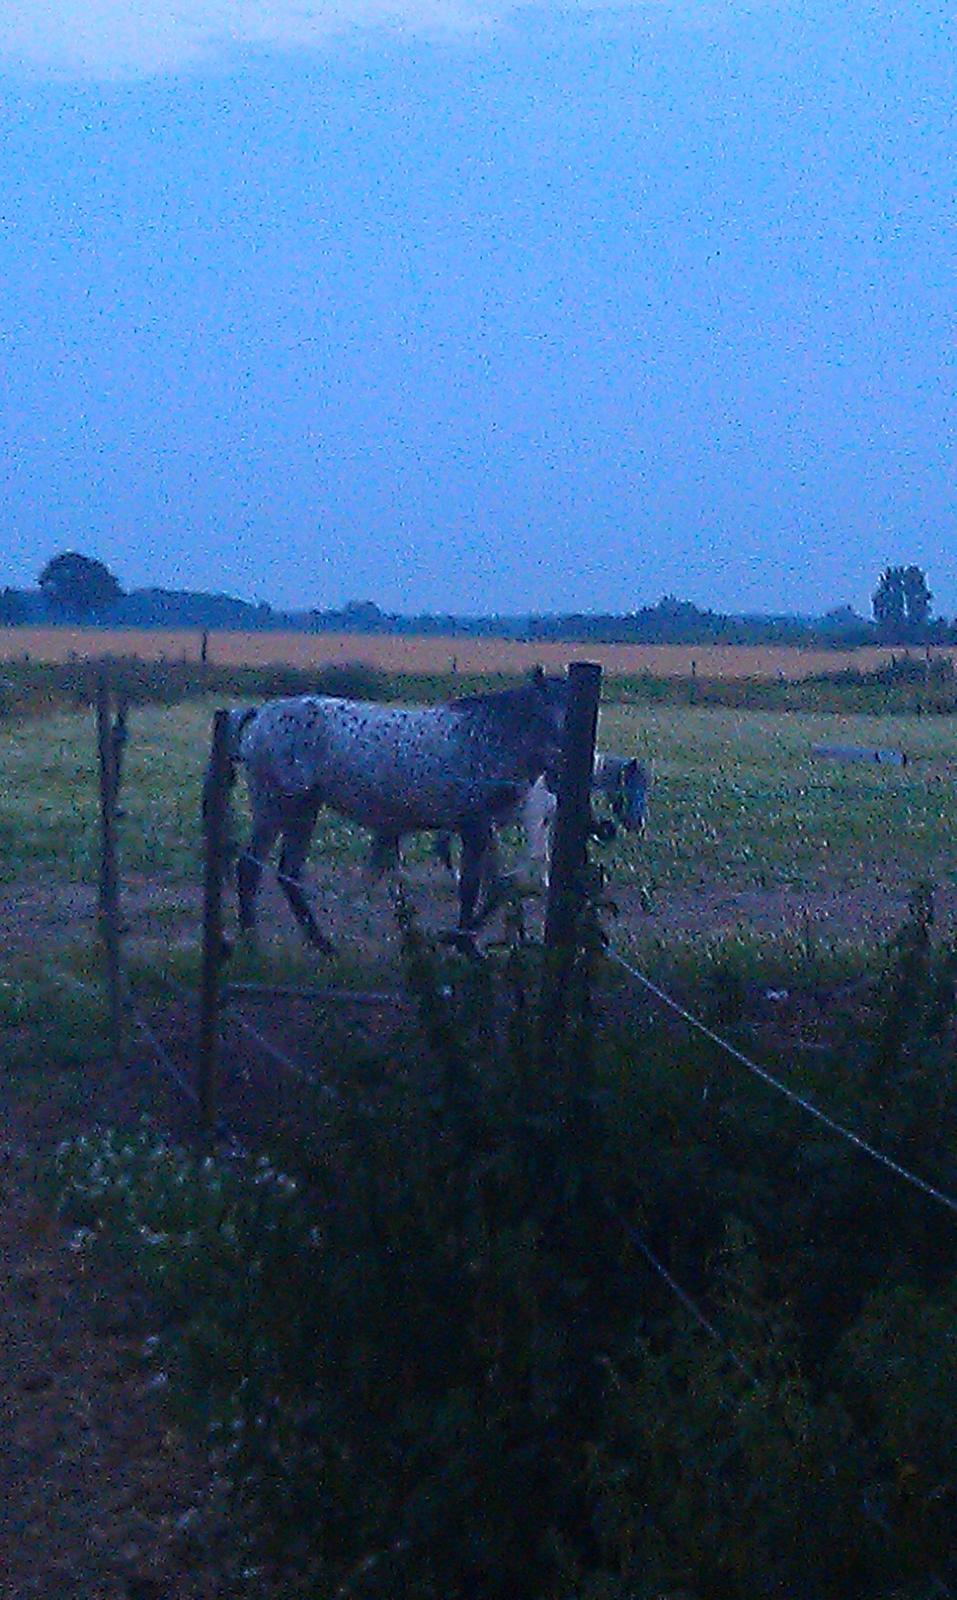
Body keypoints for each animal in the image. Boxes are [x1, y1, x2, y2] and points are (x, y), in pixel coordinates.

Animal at [216, 665, 569, 940]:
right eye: (548, 715)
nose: (560, 771)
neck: (487, 736)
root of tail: (260, 713)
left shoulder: (487, 828)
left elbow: (498, 888)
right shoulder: (474, 827)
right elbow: (472, 888)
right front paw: (464, 943)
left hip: (303, 811)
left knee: (287, 874)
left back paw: (322, 945)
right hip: (275, 807)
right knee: (251, 868)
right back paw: (252, 941)